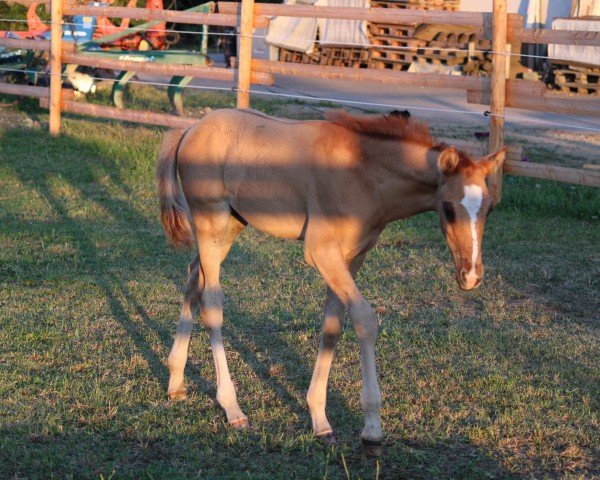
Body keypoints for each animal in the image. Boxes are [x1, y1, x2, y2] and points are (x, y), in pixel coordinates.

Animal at [157, 108, 504, 454]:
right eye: (448, 208)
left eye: (489, 209)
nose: (471, 276)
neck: (363, 173)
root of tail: (190, 130)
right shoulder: (322, 253)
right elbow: (364, 320)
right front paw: (372, 429)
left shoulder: (352, 257)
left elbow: (332, 328)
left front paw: (320, 420)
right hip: (210, 220)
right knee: (211, 302)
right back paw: (232, 407)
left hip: (230, 225)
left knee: (193, 279)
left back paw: (176, 381)